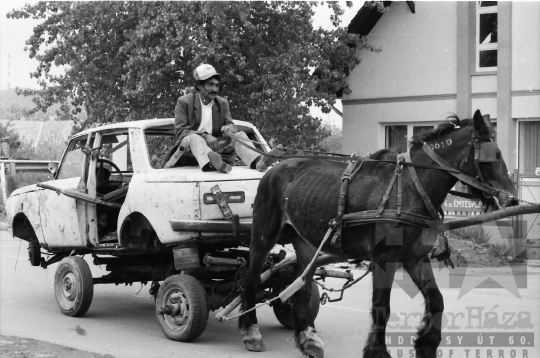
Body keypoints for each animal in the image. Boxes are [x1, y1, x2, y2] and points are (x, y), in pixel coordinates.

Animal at [239, 110, 520, 358]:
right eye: (494, 155)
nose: (513, 198)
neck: (411, 186)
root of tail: (272, 169)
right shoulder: (384, 260)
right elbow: (382, 308)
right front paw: (377, 352)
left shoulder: (415, 258)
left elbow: (437, 300)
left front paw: (426, 344)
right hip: (264, 235)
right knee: (251, 279)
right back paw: (251, 332)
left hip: (307, 243)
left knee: (303, 286)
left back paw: (307, 338)